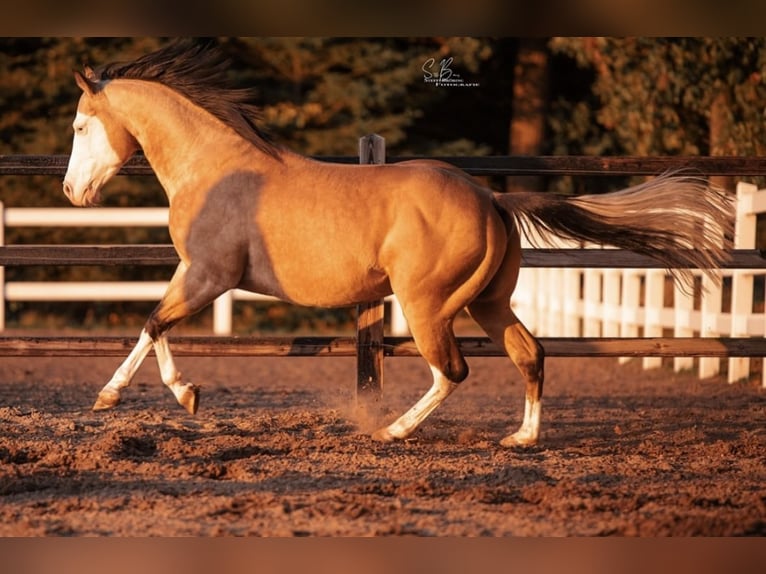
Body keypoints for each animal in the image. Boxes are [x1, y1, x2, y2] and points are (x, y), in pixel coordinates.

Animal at [62, 41, 733, 447]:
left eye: (80, 125)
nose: (72, 191)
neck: (218, 169)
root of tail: (490, 197)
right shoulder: (199, 274)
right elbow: (157, 325)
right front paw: (173, 395)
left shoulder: (208, 274)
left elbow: (153, 323)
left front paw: (127, 395)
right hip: (488, 302)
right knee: (529, 353)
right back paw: (522, 438)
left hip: (426, 303)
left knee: (452, 370)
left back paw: (392, 432)